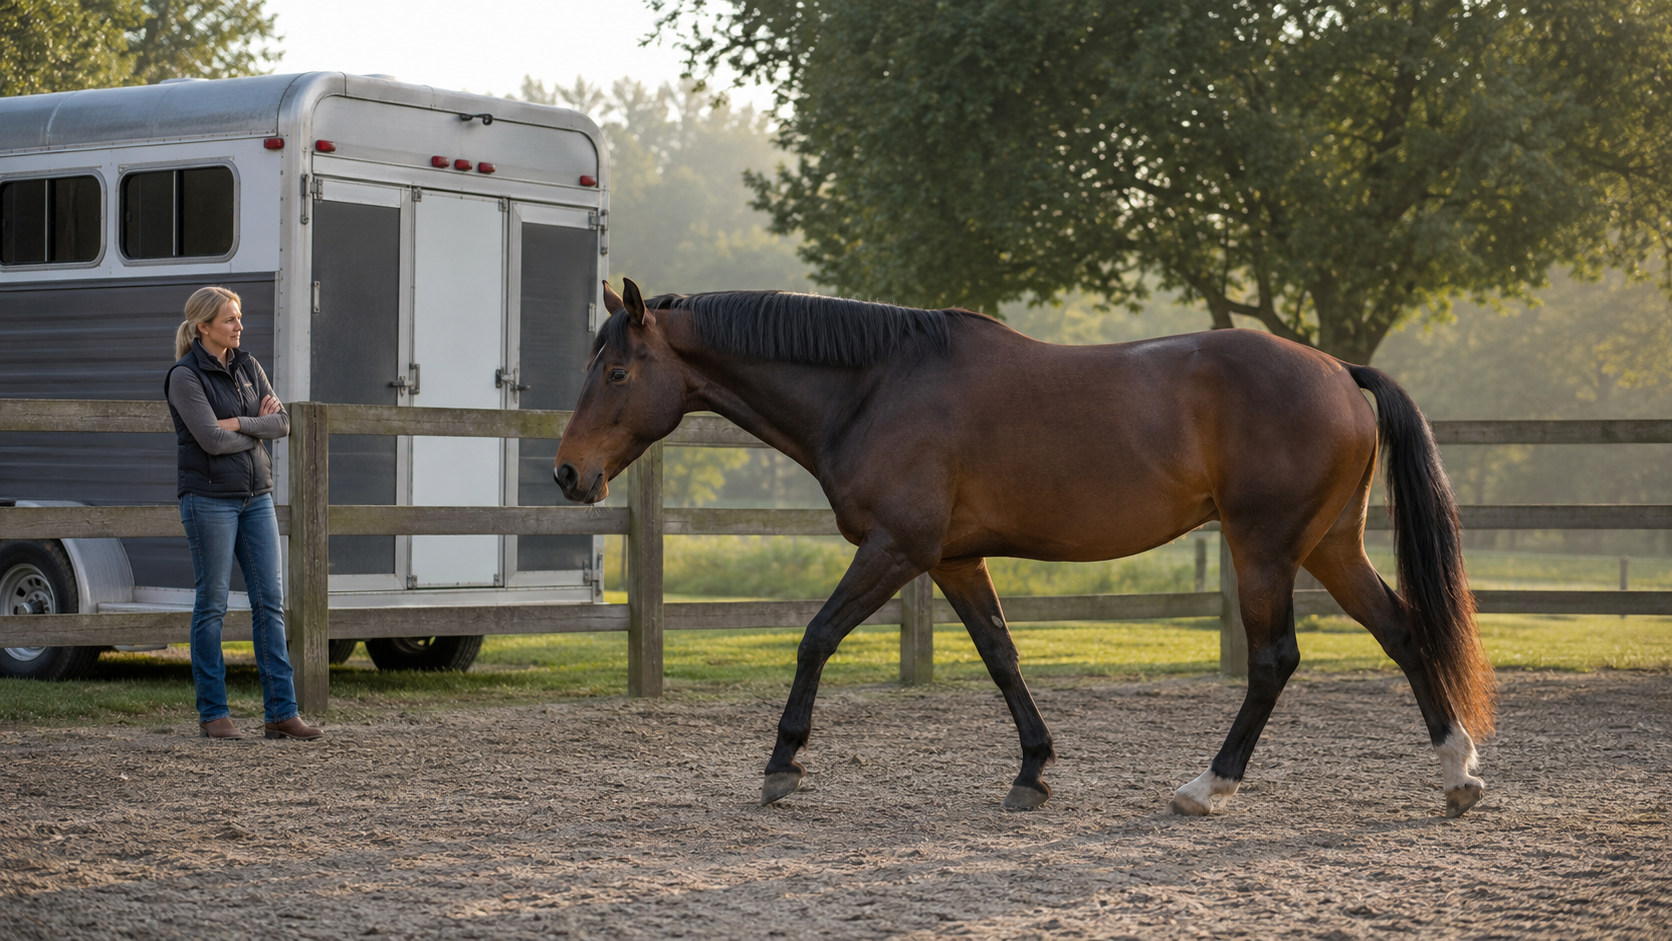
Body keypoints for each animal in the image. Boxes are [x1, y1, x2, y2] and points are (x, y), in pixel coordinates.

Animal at [554, 278, 1497, 819]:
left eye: (618, 372)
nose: (567, 473)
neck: (877, 384)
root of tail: (1339, 370)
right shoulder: (952, 559)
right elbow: (1002, 655)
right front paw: (1034, 771)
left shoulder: (897, 549)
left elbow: (816, 636)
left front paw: (783, 763)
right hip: (1330, 546)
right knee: (1403, 631)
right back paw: (1457, 774)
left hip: (1263, 547)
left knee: (1273, 660)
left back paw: (1209, 786)